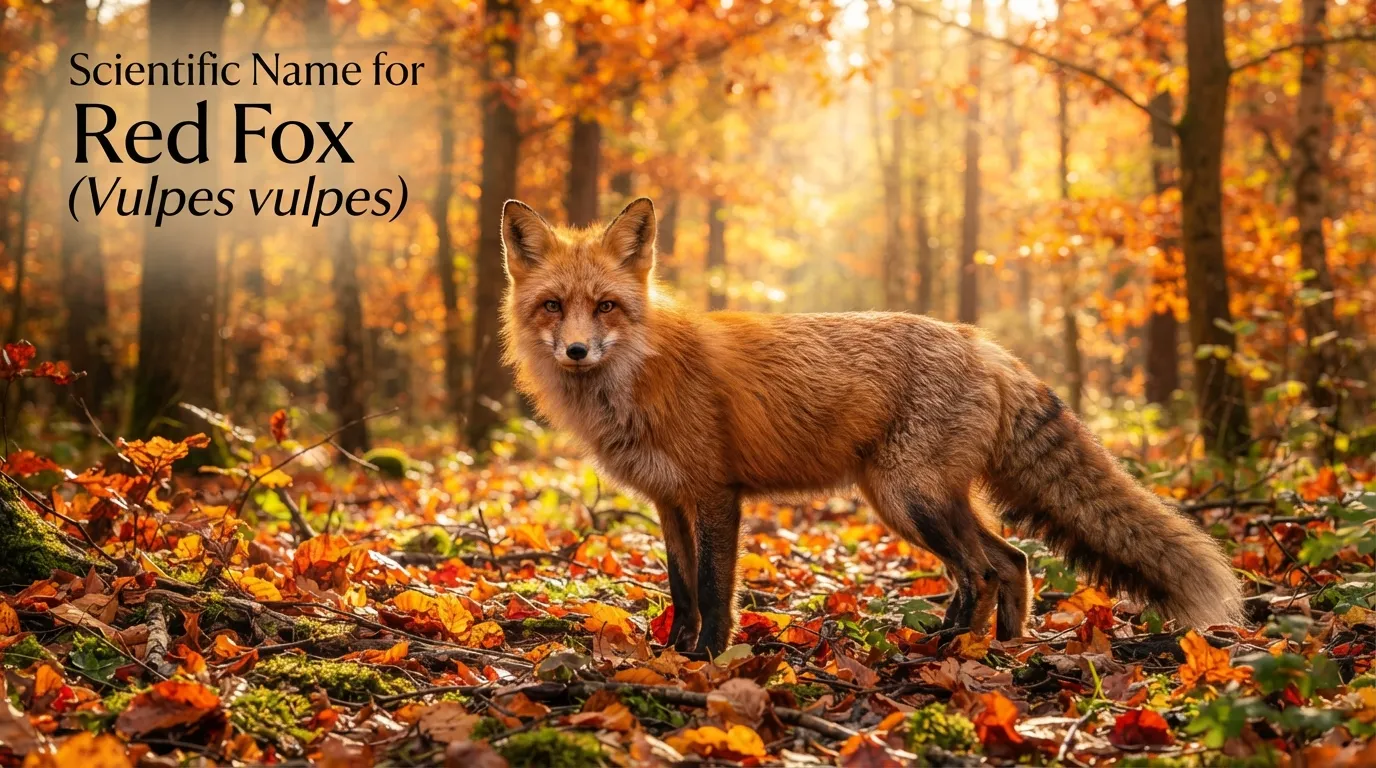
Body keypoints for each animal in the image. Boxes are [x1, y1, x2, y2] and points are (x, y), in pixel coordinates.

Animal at [498, 196, 1245, 656]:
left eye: (606, 306)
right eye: (553, 306)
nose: (576, 351)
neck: (637, 375)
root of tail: (982, 344)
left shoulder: (715, 494)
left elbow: (713, 589)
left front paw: (709, 658)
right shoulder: (668, 501)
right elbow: (681, 589)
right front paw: (674, 653)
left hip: (907, 497)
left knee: (980, 569)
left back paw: (952, 647)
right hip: (914, 500)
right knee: (1011, 561)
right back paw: (994, 645)